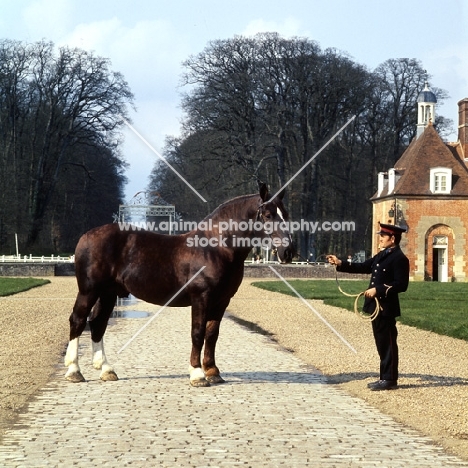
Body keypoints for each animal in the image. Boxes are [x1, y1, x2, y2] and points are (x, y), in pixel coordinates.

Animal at [64, 185, 294, 386]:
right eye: (267, 215)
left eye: (285, 214)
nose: (288, 252)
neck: (216, 248)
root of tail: (86, 236)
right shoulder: (201, 297)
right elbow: (197, 333)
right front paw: (197, 374)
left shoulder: (222, 301)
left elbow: (212, 334)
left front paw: (213, 372)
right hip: (89, 291)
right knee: (78, 320)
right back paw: (74, 371)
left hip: (108, 293)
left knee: (97, 324)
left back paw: (106, 370)